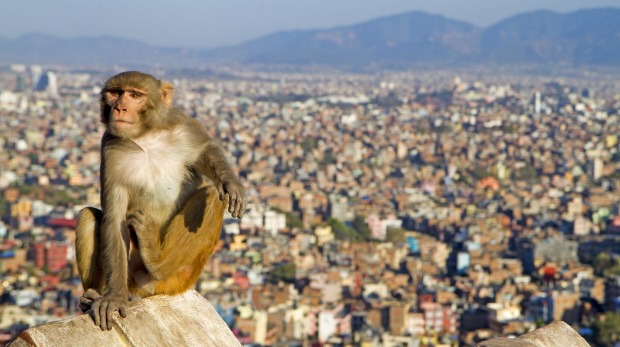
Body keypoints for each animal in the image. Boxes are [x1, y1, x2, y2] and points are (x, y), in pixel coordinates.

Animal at [75, 70, 245, 332]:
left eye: (135, 95)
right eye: (115, 93)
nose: (120, 108)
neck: (146, 137)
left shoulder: (181, 124)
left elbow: (206, 150)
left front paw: (229, 180)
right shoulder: (111, 148)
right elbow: (113, 220)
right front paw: (113, 298)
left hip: (181, 276)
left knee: (211, 197)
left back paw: (157, 261)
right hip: (132, 277)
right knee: (89, 216)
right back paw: (93, 296)